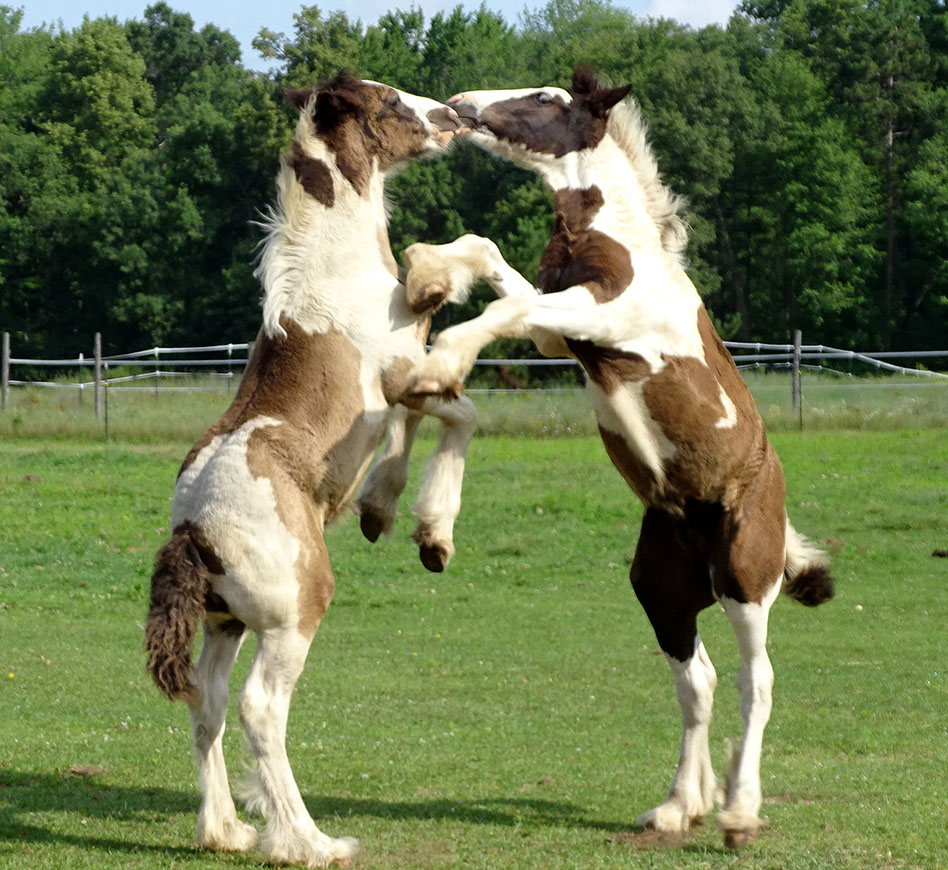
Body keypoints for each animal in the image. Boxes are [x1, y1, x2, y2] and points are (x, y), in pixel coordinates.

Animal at [145, 76, 474, 870]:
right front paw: (432, 532)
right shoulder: (404, 370)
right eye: (389, 104)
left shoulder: (404, 384)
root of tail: (191, 532)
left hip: (226, 621)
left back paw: (226, 830)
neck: (336, 265)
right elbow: (461, 409)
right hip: (294, 612)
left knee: (206, 703)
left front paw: (384, 508)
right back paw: (309, 841)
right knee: (261, 708)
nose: (452, 114)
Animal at [404, 68, 832, 852]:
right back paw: (677, 807)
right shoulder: (560, 332)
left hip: (744, 579)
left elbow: (503, 312)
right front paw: (426, 272)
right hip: (662, 587)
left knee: (756, 682)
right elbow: (490, 258)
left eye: (546, 98)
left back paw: (738, 812)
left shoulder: (599, 318)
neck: (618, 244)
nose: (460, 105)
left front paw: (439, 360)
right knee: (699, 680)